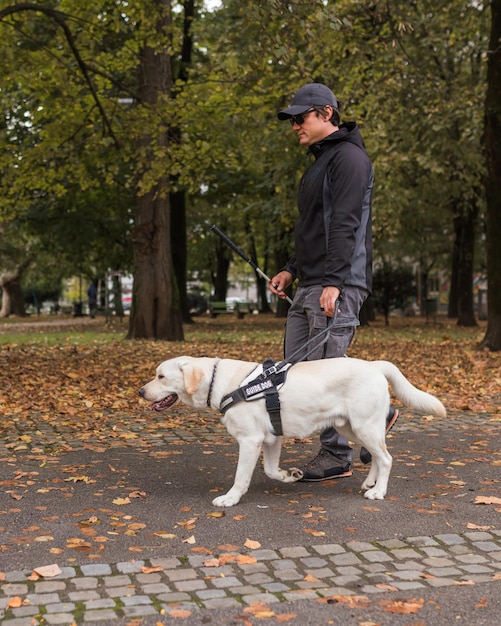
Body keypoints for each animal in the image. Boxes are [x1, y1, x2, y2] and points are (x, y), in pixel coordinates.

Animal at [138, 354, 446, 504]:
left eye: (161, 376)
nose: (140, 392)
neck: (222, 383)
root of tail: (374, 365)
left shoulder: (250, 440)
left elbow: (241, 477)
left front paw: (230, 498)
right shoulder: (271, 438)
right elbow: (271, 470)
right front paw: (291, 475)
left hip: (363, 425)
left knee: (387, 458)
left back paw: (378, 492)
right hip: (350, 427)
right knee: (377, 457)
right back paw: (370, 483)